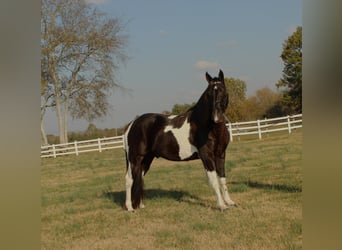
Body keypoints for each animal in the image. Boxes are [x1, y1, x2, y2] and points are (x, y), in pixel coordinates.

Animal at [123, 69, 235, 211]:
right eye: (209, 93)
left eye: (223, 91)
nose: (217, 117)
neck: (207, 126)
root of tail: (132, 124)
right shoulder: (207, 156)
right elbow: (214, 181)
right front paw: (221, 205)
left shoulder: (220, 154)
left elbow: (222, 179)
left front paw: (229, 202)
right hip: (135, 158)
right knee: (129, 179)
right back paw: (129, 207)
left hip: (147, 159)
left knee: (139, 177)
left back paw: (141, 205)